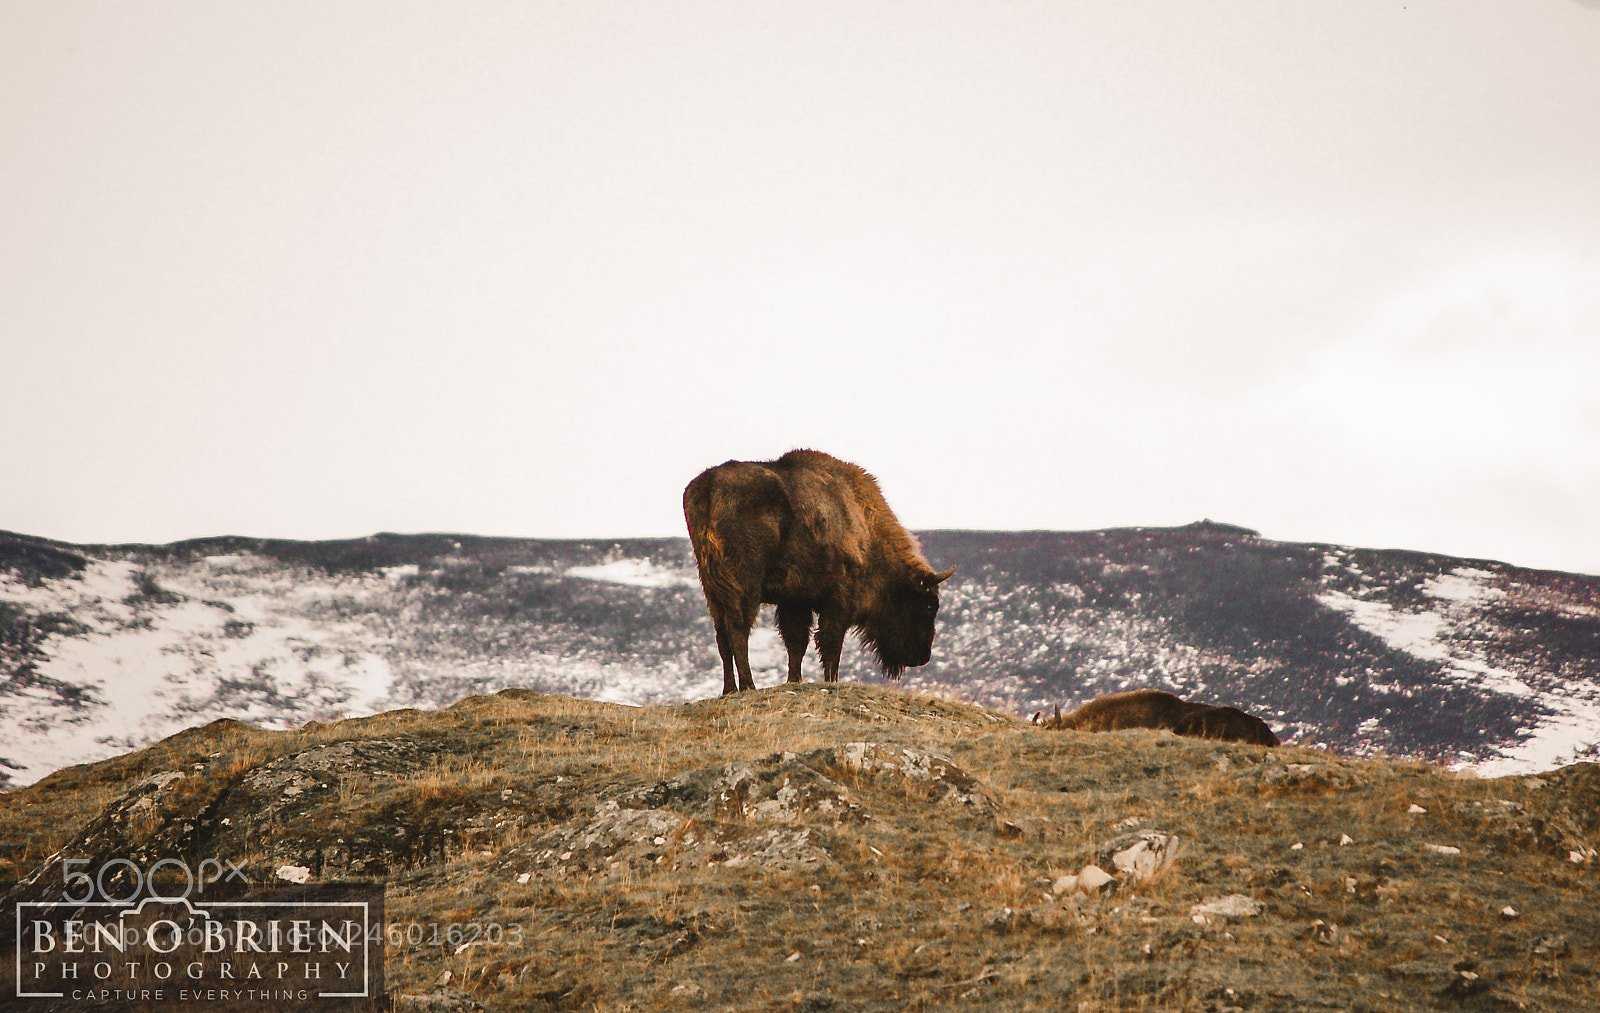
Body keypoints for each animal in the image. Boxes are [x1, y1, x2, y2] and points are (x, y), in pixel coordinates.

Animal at [683, 449, 955, 695]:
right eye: (928, 605)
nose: (922, 656)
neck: (864, 529)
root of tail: (709, 485)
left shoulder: (794, 601)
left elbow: (797, 643)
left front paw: (794, 680)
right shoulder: (838, 601)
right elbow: (829, 643)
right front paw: (831, 680)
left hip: (712, 587)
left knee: (722, 635)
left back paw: (729, 689)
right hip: (744, 584)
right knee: (738, 629)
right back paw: (749, 686)